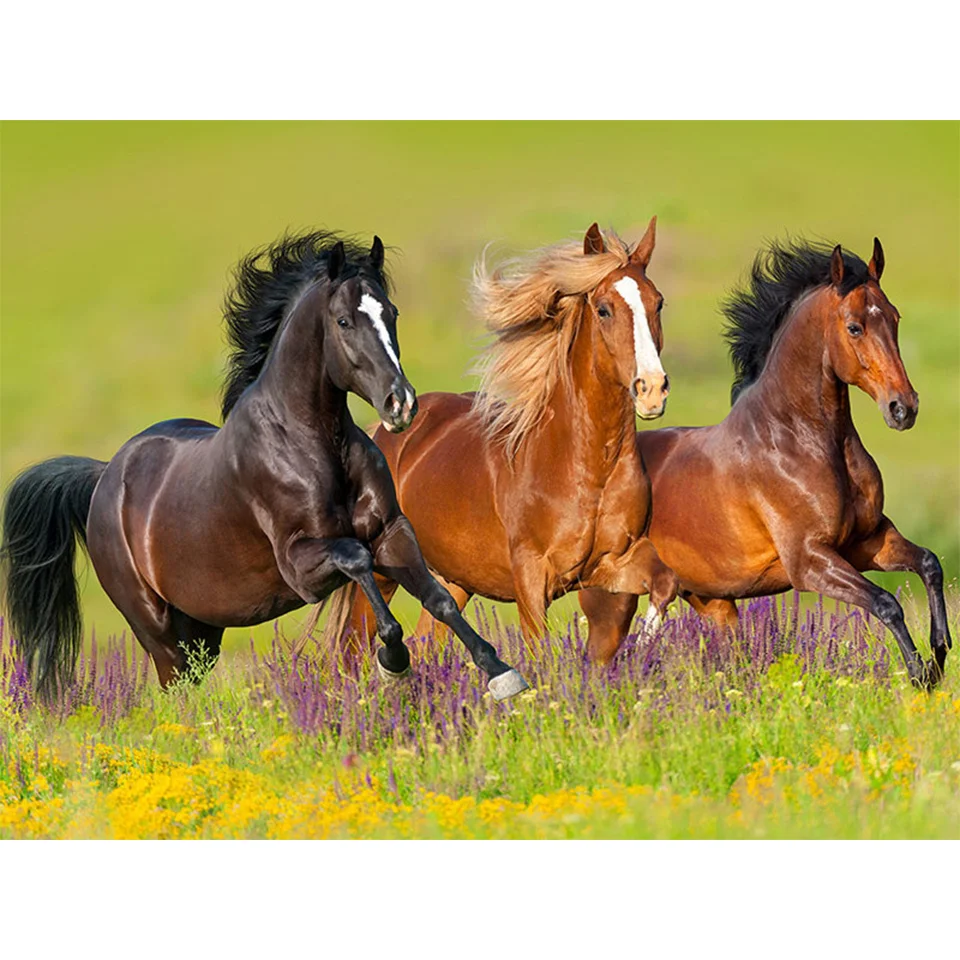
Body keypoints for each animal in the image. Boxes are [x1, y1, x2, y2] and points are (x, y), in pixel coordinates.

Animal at [1, 230, 528, 701]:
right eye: (343, 321)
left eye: (391, 313)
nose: (401, 404)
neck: (313, 445)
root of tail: (104, 477)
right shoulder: (302, 566)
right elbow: (358, 560)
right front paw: (393, 662)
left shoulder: (392, 532)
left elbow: (439, 598)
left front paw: (502, 674)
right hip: (158, 630)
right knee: (175, 691)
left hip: (202, 630)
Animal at [338, 220, 680, 660]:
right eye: (604, 309)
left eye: (658, 303)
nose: (652, 389)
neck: (586, 468)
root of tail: (383, 434)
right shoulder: (531, 578)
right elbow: (539, 651)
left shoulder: (615, 561)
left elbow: (664, 584)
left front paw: (640, 646)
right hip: (383, 572)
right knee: (353, 648)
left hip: (452, 580)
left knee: (428, 640)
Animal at [577, 238, 951, 687]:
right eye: (855, 327)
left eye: (894, 318)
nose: (903, 408)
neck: (798, 440)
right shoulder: (809, 561)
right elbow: (885, 603)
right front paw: (921, 674)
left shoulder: (868, 541)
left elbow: (929, 564)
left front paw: (940, 651)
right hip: (611, 603)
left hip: (715, 603)